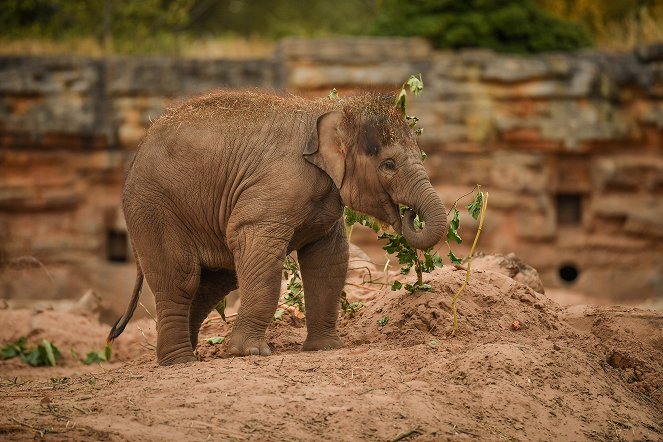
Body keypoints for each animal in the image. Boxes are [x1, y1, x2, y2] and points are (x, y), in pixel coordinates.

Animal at [109, 90, 448, 366]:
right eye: (389, 164)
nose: (409, 214)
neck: (329, 109)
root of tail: (136, 152)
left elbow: (329, 261)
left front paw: (326, 347)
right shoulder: (272, 194)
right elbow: (262, 256)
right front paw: (249, 353)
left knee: (213, 283)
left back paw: (190, 354)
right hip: (153, 207)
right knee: (181, 278)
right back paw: (178, 362)